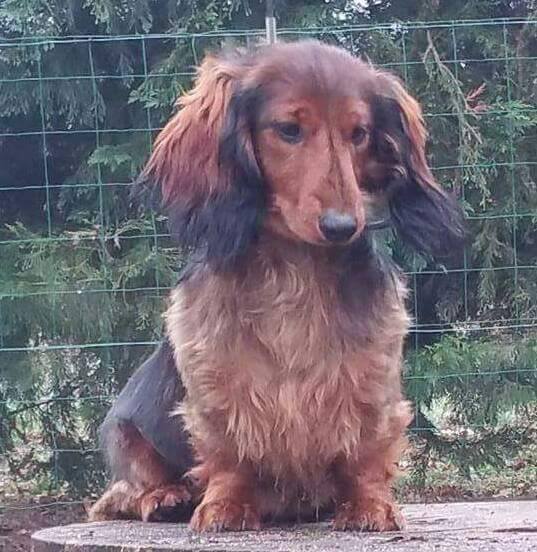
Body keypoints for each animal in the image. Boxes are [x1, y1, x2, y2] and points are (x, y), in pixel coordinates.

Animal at [88, 40, 464, 532]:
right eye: (288, 129)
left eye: (359, 133)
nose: (342, 226)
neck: (295, 265)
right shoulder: (215, 374)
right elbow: (228, 449)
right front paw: (226, 504)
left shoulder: (371, 374)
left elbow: (365, 449)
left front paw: (369, 504)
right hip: (124, 432)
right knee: (123, 491)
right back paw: (167, 496)